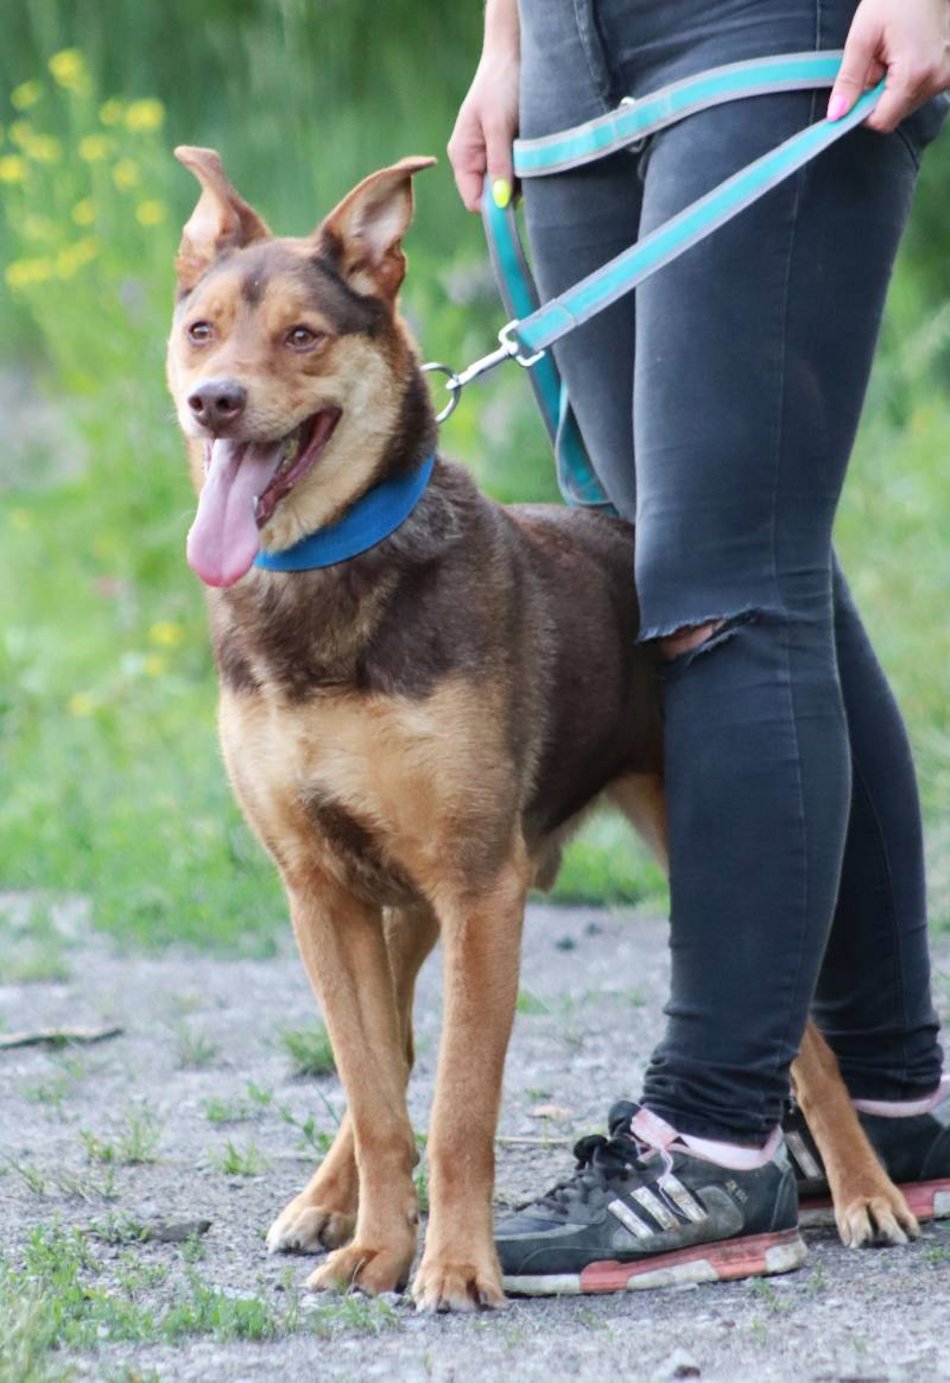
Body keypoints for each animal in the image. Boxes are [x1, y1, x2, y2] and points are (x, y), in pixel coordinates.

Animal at [167, 148, 918, 1305]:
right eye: (202, 329)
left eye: (301, 336)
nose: (215, 402)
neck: (329, 586)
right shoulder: (322, 891)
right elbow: (377, 1094)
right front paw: (378, 1243)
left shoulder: (483, 889)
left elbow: (458, 1108)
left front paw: (455, 1263)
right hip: (405, 900)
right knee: (385, 1056)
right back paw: (332, 1201)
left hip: (681, 846)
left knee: (813, 1050)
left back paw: (868, 1189)